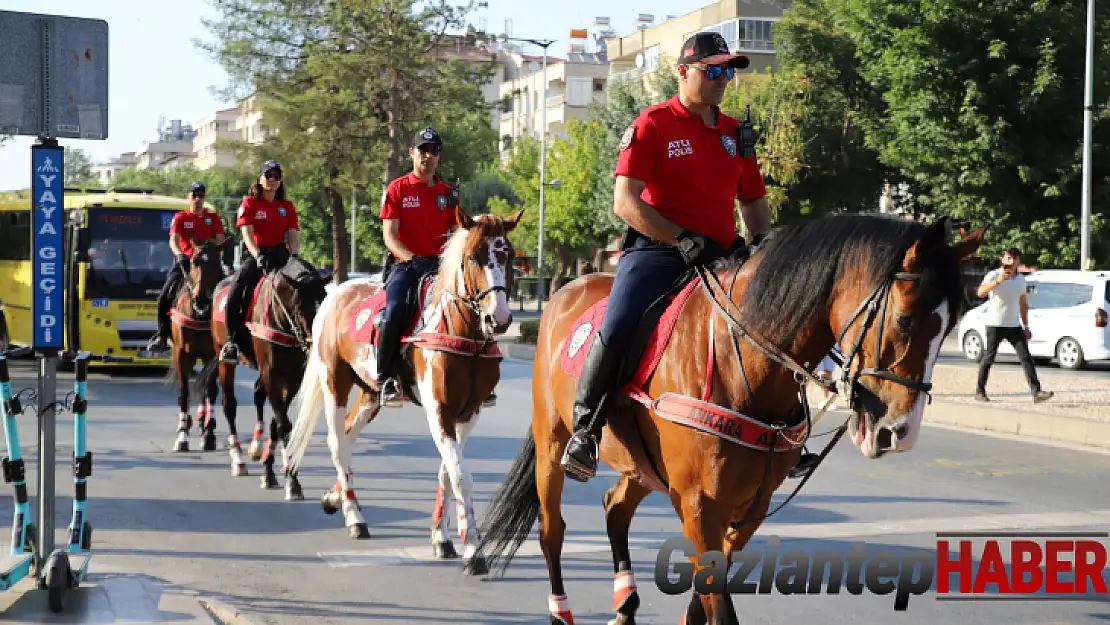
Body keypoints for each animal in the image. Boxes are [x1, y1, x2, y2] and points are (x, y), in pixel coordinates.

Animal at [197, 254, 326, 499]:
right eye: (300, 309)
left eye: (324, 304)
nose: (314, 346)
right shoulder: (271, 374)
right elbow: (283, 425)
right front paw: (292, 481)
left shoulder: (292, 380)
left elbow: (277, 423)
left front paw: (271, 472)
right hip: (224, 359)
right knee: (229, 405)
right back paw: (237, 459)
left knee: (257, 395)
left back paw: (256, 446)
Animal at [288, 208, 521, 572]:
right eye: (473, 257)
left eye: (507, 254)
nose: (499, 318)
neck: (462, 333)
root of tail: (337, 292)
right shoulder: (439, 412)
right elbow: (460, 476)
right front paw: (473, 549)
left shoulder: (469, 413)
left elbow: (446, 472)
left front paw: (442, 537)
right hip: (334, 382)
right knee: (338, 444)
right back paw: (355, 517)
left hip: (371, 394)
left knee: (350, 436)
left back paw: (335, 497)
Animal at [463, 215, 985, 625]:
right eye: (905, 320)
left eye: (952, 322)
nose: (899, 432)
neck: (746, 361)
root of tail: (566, 292)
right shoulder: (699, 504)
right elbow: (717, 604)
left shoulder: (749, 506)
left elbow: (706, 596)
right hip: (552, 445)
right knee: (552, 530)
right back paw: (561, 609)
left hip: (642, 466)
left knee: (615, 508)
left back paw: (626, 603)